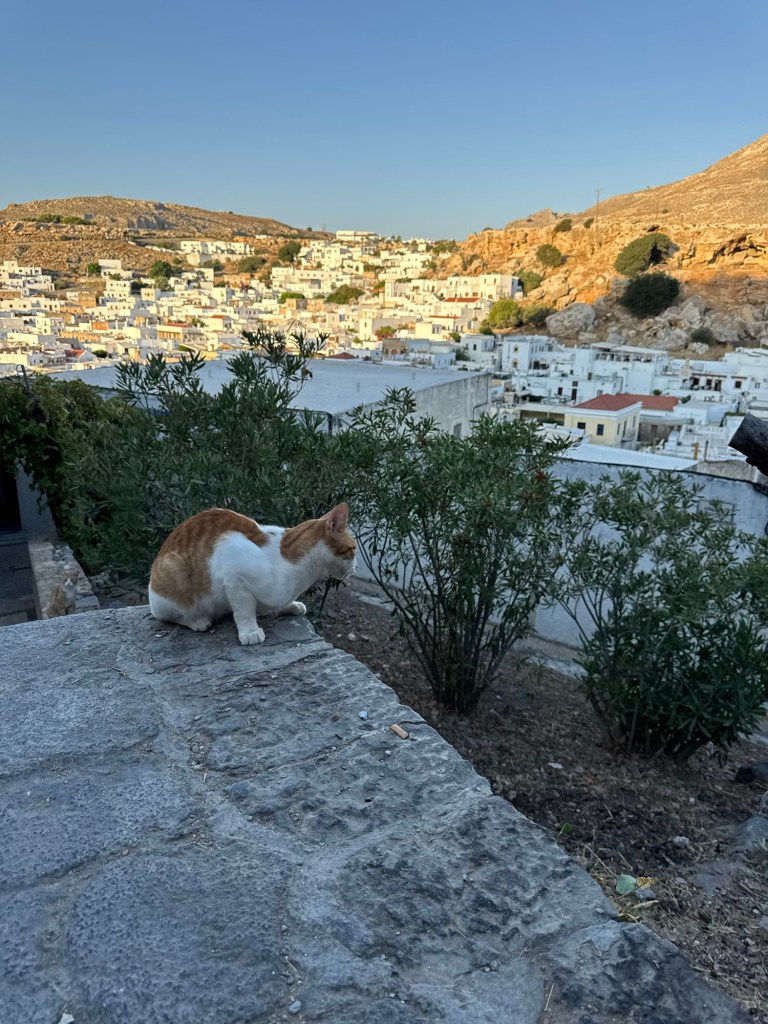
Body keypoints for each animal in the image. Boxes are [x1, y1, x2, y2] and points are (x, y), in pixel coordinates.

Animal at [148, 502, 356, 645]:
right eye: (354, 549)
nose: (356, 567)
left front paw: (290, 605)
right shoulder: (232, 567)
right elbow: (244, 610)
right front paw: (250, 632)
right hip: (173, 570)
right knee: (168, 615)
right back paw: (197, 620)